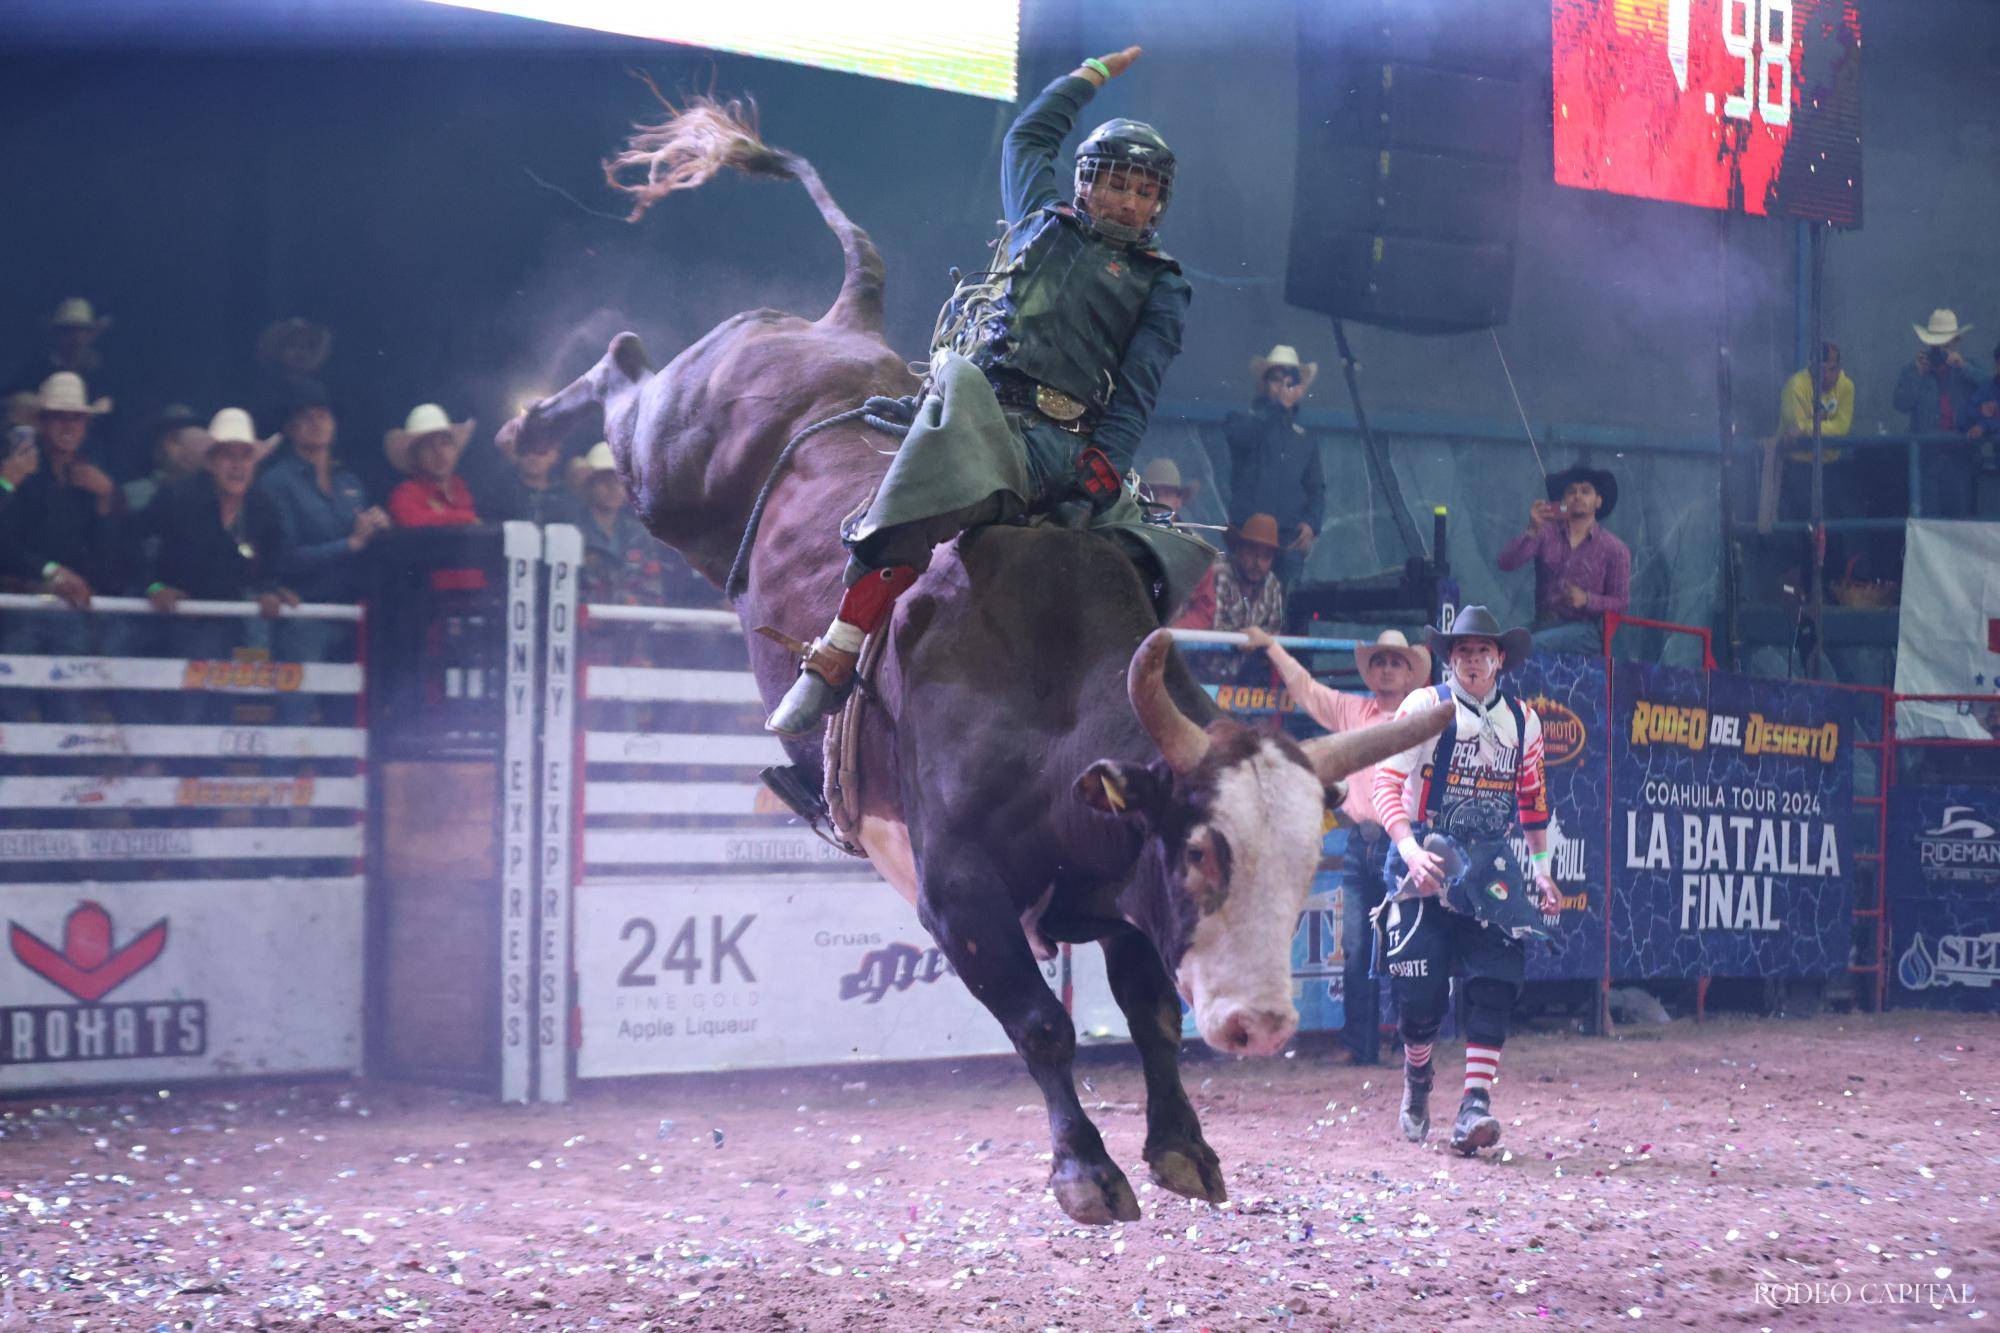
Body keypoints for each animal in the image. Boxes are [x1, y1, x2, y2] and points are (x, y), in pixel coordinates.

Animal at [498, 96, 1440, 1216]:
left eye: (1305, 864)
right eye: (1203, 851)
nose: (1261, 1023)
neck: (1044, 696)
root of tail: (841, 325)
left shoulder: (1111, 885)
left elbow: (1149, 1011)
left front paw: (1180, 1144)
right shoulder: (957, 895)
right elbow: (1041, 1022)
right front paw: (1085, 1170)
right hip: (671, 455)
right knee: (626, 368)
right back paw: (529, 423)